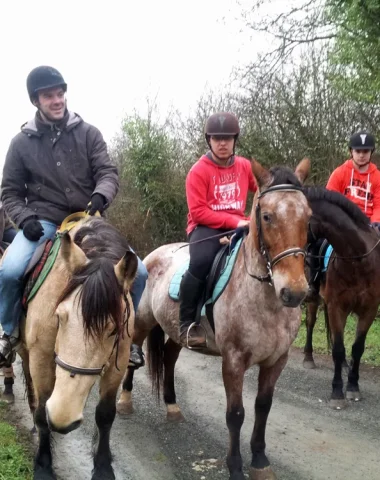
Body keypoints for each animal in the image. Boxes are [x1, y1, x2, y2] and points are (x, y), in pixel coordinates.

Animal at [15, 218, 139, 480]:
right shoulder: (41, 358)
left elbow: (105, 415)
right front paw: (43, 466)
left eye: (113, 330)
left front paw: (103, 468)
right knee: (31, 387)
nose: (63, 419)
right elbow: (42, 409)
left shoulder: (118, 363)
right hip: (26, 352)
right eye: (59, 317)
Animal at [117, 159, 314, 478]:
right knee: (132, 354)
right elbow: (236, 414)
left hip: (177, 332)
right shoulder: (233, 360)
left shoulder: (277, 360)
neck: (265, 301)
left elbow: (263, 407)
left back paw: (173, 407)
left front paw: (260, 461)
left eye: (308, 217)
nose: (293, 292)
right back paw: (124, 402)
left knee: (169, 357)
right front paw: (235, 466)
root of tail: (152, 255)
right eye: (267, 216)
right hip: (143, 323)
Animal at [302, 188, 380, 408]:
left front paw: (353, 386)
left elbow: (357, 348)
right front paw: (337, 391)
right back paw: (308, 358)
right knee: (310, 323)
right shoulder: (337, 307)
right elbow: (338, 349)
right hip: (314, 299)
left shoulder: (369, 309)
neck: (358, 260)